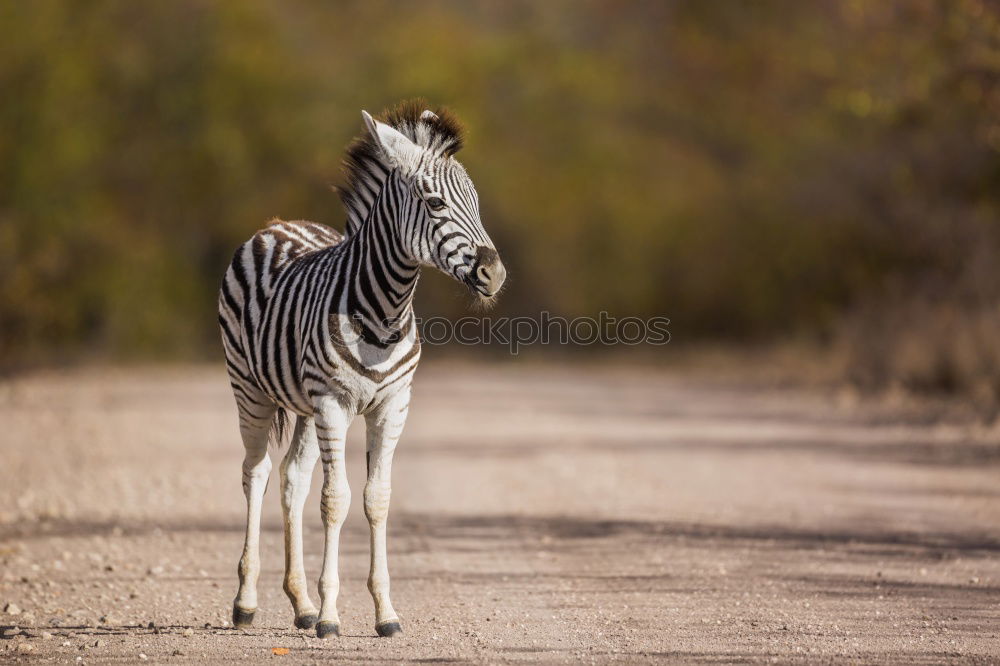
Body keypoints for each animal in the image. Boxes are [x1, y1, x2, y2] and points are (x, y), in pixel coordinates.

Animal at [216, 100, 504, 640]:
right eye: (435, 203)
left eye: (476, 203)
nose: (494, 275)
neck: (385, 314)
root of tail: (277, 224)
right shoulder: (334, 403)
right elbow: (336, 500)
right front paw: (333, 616)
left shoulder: (393, 406)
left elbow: (377, 498)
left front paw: (384, 613)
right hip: (250, 390)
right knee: (256, 473)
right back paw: (246, 603)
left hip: (302, 404)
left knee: (292, 480)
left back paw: (301, 604)